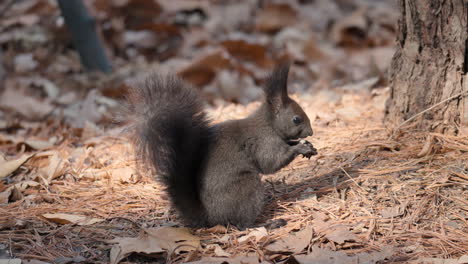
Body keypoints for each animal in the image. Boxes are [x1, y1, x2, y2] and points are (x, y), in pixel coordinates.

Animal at [130, 62, 316, 227]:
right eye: (296, 119)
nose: (311, 132)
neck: (268, 124)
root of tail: (211, 217)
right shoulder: (264, 142)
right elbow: (271, 163)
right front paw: (300, 147)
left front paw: (307, 146)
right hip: (246, 189)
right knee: (242, 224)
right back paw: (268, 223)